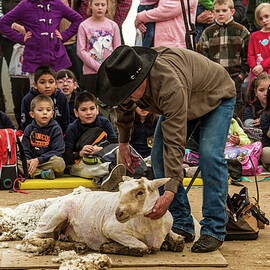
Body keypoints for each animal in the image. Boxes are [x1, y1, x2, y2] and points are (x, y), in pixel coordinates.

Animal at [22, 176, 185, 256]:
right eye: (120, 190)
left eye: (140, 192)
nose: (118, 213)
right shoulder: (112, 229)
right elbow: (143, 247)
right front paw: (108, 247)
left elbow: (179, 242)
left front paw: (173, 241)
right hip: (54, 217)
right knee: (32, 236)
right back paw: (48, 244)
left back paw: (78, 245)